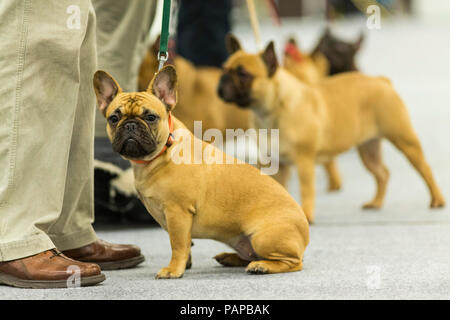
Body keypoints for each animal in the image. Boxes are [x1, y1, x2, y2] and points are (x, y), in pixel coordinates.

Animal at [91, 65, 310, 278]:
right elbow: (185, 244)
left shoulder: (177, 212)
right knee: (250, 255)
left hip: (263, 237)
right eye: (113, 118)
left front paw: (173, 269)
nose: (130, 125)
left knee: (293, 262)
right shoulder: (168, 218)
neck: (162, 152)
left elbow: (178, 244)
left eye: (151, 117)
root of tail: (305, 233)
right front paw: (184, 265)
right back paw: (231, 258)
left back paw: (262, 266)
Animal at [216, 33, 444, 222]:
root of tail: (381, 81)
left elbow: (307, 189)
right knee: (382, 173)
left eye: (243, 74)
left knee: (425, 169)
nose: (222, 82)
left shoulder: (304, 161)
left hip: (405, 140)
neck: (270, 110)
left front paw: (307, 215)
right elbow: (278, 189)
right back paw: (375, 203)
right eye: (224, 69)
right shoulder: (275, 163)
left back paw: (437, 200)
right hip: (368, 149)